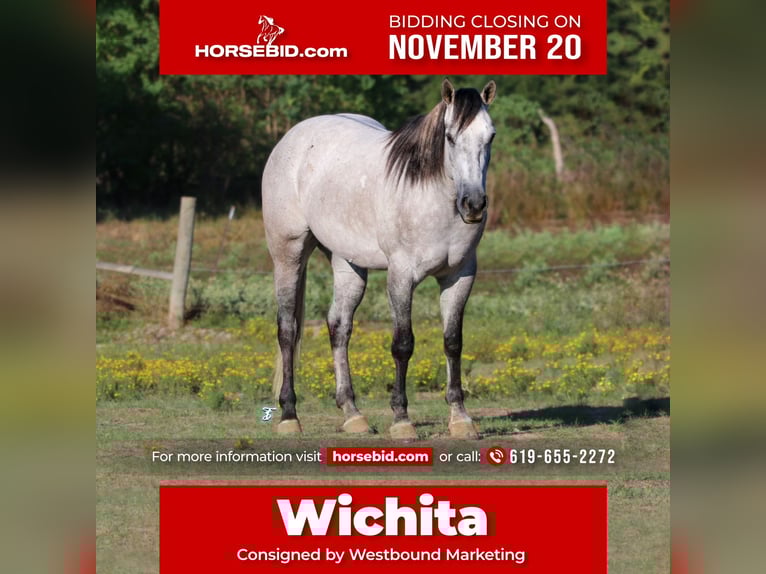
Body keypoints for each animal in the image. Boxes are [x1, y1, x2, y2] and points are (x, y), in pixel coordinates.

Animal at [262, 79, 497, 439]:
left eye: (491, 136)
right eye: (450, 137)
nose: (473, 205)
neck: (428, 196)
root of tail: (293, 136)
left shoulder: (460, 276)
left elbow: (453, 342)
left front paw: (461, 418)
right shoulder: (401, 276)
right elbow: (403, 344)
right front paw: (401, 419)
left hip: (347, 263)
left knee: (339, 326)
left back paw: (352, 414)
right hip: (288, 254)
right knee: (288, 329)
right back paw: (289, 415)